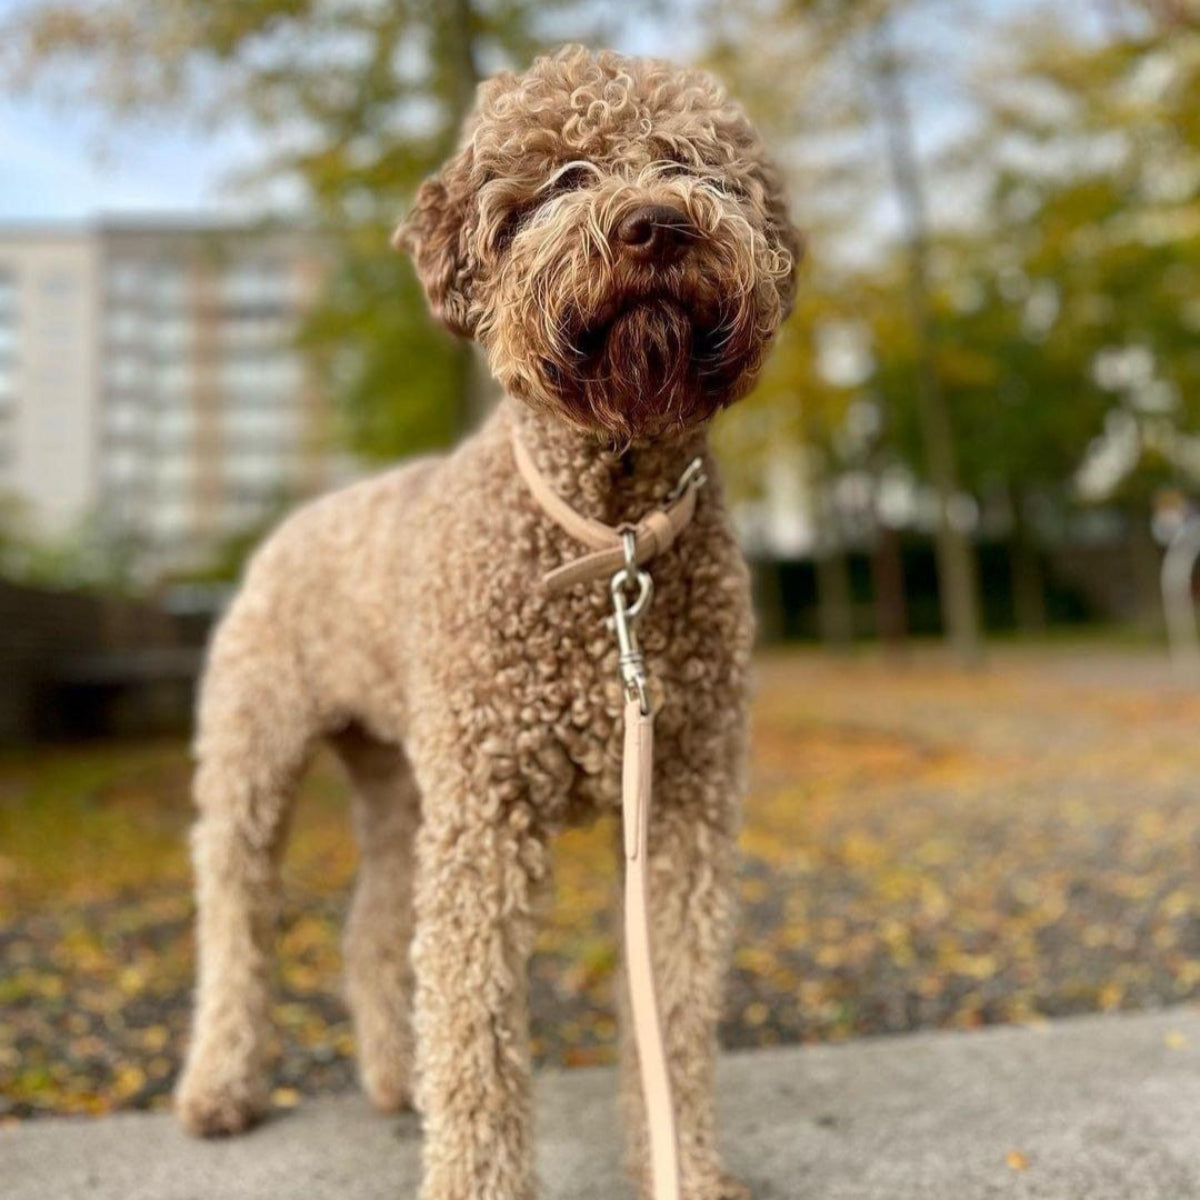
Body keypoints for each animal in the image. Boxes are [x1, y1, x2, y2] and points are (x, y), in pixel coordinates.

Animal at [175, 44, 796, 1200]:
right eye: (564, 178)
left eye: (695, 167)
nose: (657, 225)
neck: (609, 536)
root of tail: (294, 525)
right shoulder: (490, 819)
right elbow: (476, 1025)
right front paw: (475, 1175)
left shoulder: (682, 806)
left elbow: (675, 1015)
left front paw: (684, 1166)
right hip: (255, 762)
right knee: (238, 923)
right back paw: (221, 1086)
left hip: (404, 781)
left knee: (373, 929)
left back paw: (394, 1079)